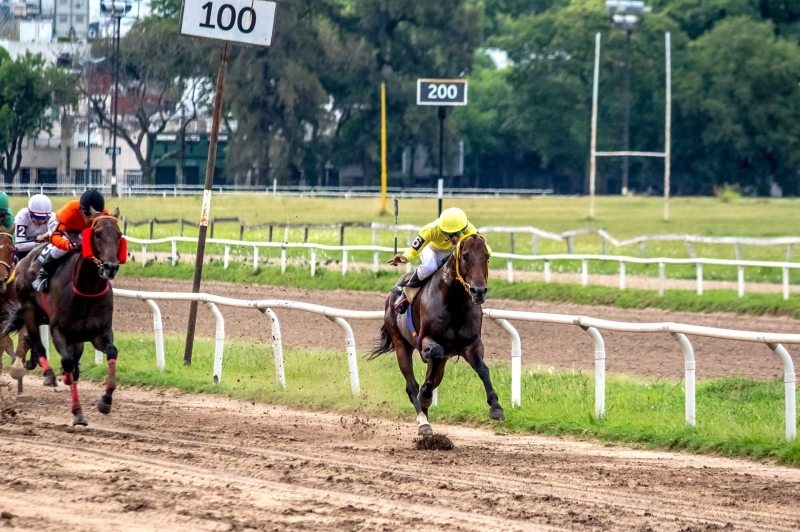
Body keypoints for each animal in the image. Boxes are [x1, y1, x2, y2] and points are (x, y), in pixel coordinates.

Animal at [3, 208, 125, 424]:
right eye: (97, 234)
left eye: (118, 234)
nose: (110, 267)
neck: (87, 291)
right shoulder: (58, 330)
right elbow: (67, 361)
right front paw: (77, 412)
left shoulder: (100, 333)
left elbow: (111, 352)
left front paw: (106, 400)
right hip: (29, 310)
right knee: (38, 344)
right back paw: (46, 372)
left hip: (75, 336)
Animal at [370, 235, 506, 434]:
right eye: (465, 256)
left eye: (487, 256)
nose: (479, 291)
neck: (455, 304)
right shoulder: (425, 342)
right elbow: (434, 355)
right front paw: (425, 396)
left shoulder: (472, 344)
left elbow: (482, 369)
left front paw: (496, 407)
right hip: (401, 343)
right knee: (412, 385)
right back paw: (423, 421)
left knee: (432, 375)